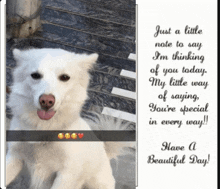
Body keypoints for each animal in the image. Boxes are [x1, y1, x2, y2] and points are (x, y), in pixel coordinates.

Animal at [6, 48, 132, 188]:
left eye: (65, 77)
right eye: (35, 75)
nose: (46, 101)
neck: (44, 129)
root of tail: (106, 153)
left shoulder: (67, 174)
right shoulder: (14, 157)